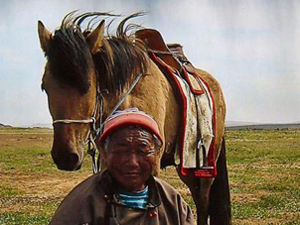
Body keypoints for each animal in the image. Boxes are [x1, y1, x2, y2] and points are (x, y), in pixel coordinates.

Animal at [38, 12, 231, 225]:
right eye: (45, 87)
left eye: (87, 86)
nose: (65, 156)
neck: (129, 94)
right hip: (185, 165)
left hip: (205, 163)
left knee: (203, 200)